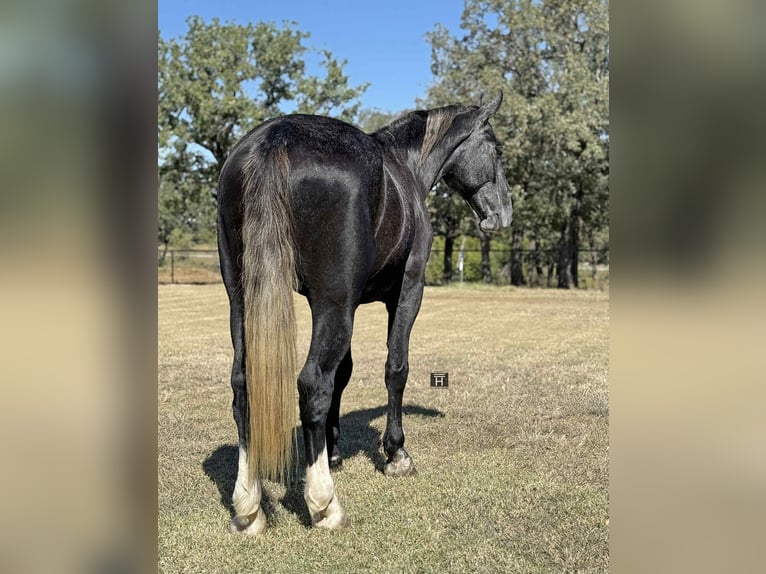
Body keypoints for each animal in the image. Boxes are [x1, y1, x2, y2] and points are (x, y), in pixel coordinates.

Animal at [216, 92, 512, 535]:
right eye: (496, 149)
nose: (504, 213)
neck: (404, 167)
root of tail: (275, 138)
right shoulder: (406, 292)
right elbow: (395, 368)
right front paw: (396, 453)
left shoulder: (344, 303)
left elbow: (344, 373)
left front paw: (333, 448)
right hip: (333, 304)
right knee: (312, 383)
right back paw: (324, 503)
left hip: (243, 299)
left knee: (243, 386)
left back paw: (248, 506)